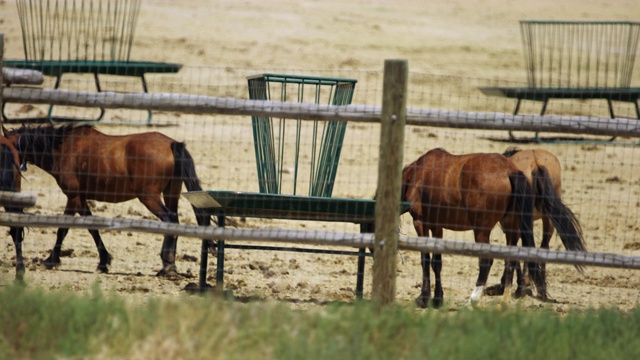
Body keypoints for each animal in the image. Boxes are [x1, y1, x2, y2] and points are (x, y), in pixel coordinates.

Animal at [2, 124, 208, 276]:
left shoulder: (73, 197)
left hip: (149, 198)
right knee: (175, 222)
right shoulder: (81, 198)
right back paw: (170, 265)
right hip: (171, 193)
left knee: (169, 219)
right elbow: (92, 228)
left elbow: (63, 229)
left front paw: (51, 260)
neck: (62, 148)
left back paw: (167, 264)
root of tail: (172, 143)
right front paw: (103, 261)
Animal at [400, 148, 544, 308]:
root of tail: (509, 170)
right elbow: (436, 262)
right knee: (510, 261)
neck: (417, 173)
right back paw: (504, 302)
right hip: (511, 228)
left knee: (486, 262)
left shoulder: (420, 222)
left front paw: (423, 297)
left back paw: (473, 300)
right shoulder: (436, 226)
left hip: (481, 231)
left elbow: (425, 259)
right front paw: (437, 298)